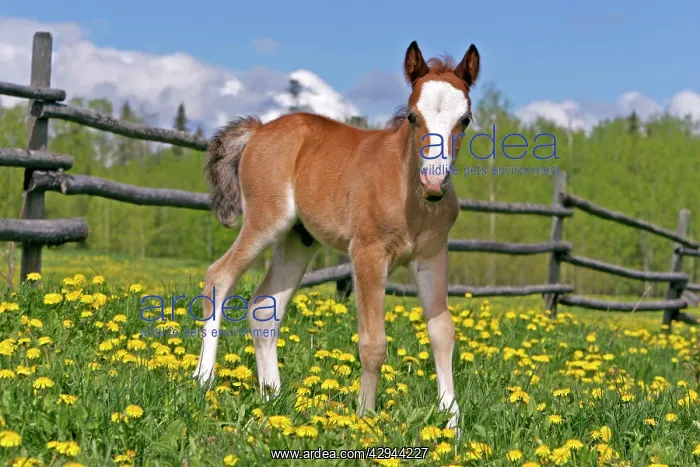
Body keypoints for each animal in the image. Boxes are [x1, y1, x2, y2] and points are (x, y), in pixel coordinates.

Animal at [193, 40, 480, 432]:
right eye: (412, 116)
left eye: (464, 120)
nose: (434, 182)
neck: (408, 192)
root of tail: (259, 129)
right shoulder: (368, 254)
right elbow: (373, 342)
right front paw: (364, 418)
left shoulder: (432, 257)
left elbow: (442, 333)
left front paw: (452, 424)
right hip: (266, 223)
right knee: (219, 276)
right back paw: (204, 379)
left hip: (298, 240)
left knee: (264, 307)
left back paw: (273, 397)